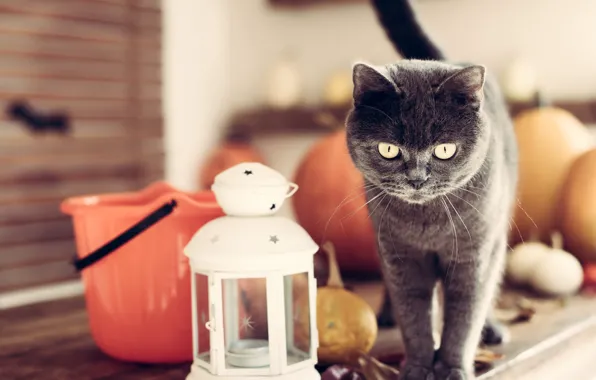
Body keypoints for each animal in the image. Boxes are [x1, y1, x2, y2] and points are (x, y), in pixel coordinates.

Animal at [344, 0, 516, 380]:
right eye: (389, 149)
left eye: (445, 150)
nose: (417, 178)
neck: (429, 223)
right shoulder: (401, 255)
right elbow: (414, 318)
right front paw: (419, 367)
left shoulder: (474, 254)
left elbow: (464, 318)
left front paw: (452, 367)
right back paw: (386, 314)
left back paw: (493, 330)